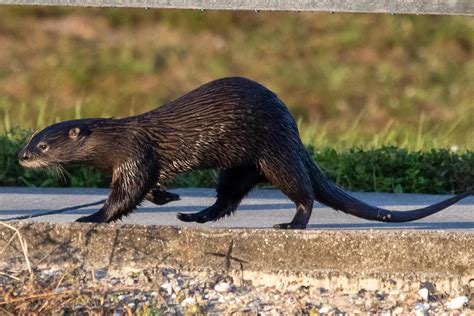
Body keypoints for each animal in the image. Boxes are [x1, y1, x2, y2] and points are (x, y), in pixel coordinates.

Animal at [17, 77, 470, 228]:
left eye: (42, 144)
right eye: (29, 141)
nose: (22, 157)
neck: (118, 138)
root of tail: (293, 128)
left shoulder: (134, 155)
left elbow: (126, 195)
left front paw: (91, 216)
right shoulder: (143, 163)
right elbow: (151, 187)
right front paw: (170, 197)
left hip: (274, 153)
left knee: (304, 192)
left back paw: (292, 224)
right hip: (239, 164)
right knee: (228, 199)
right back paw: (193, 215)